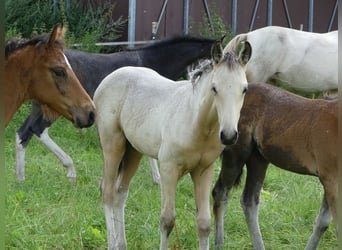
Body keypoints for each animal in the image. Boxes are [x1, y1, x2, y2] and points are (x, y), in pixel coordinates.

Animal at [15, 35, 216, 183]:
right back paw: (70, 169)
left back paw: (21, 178)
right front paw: (157, 178)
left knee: (24, 132)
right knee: (37, 130)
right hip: (57, 108)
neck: (151, 62)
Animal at [93, 40, 251, 249]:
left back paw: (122, 243)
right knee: (108, 192)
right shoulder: (168, 169)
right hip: (113, 144)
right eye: (214, 88)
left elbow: (204, 224)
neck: (196, 121)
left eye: (244, 89)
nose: (228, 135)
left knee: (120, 193)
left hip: (133, 151)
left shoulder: (204, 171)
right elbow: (167, 220)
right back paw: (112, 243)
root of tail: (109, 78)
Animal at [212, 83, 338, 249]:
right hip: (235, 155)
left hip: (258, 159)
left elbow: (323, 223)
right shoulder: (330, 179)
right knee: (220, 193)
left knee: (249, 201)